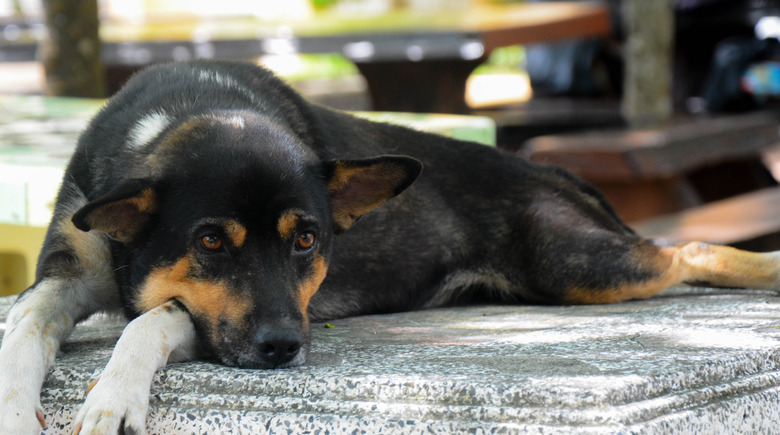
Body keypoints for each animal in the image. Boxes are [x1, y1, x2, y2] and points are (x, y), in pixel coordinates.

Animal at [1, 59, 780, 434]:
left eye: (307, 239)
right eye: (211, 240)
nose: (285, 347)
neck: (185, 110)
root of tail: (539, 168)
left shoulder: (215, 319)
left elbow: (150, 318)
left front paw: (113, 397)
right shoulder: (67, 272)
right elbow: (24, 324)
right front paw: (13, 407)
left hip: (578, 265)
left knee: (689, 251)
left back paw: (767, 267)